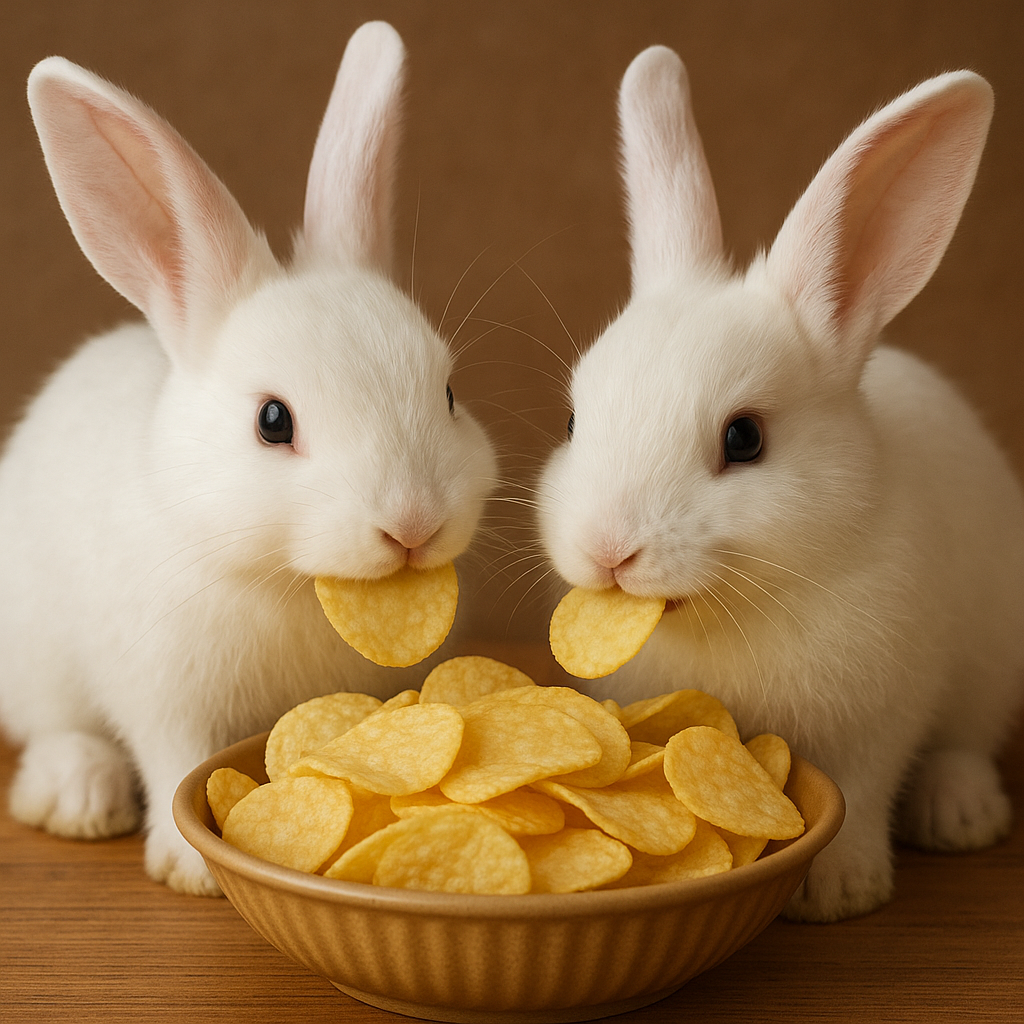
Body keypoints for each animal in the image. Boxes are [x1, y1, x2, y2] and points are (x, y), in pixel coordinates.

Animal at [0, 21, 496, 896]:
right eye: (273, 422)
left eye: (447, 393)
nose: (412, 525)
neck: (288, 582)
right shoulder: (164, 694)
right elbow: (176, 759)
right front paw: (191, 871)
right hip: (33, 657)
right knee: (52, 730)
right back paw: (78, 795)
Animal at [537, 45, 1024, 922]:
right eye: (571, 422)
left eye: (745, 438)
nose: (608, 551)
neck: (733, 612)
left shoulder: (875, 724)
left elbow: (860, 800)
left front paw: (840, 893)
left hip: (992, 659)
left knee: (965, 742)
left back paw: (962, 815)